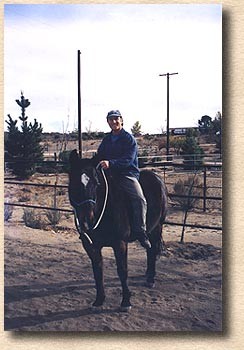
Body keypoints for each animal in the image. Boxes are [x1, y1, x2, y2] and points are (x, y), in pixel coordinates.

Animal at [68, 149, 168, 310]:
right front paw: (99, 300)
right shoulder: (90, 245)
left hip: (157, 227)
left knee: (153, 250)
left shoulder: (120, 243)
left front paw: (126, 302)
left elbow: (122, 270)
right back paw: (148, 275)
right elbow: (98, 270)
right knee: (150, 250)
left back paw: (151, 279)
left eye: (96, 183)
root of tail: (156, 177)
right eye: (74, 183)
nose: (87, 220)